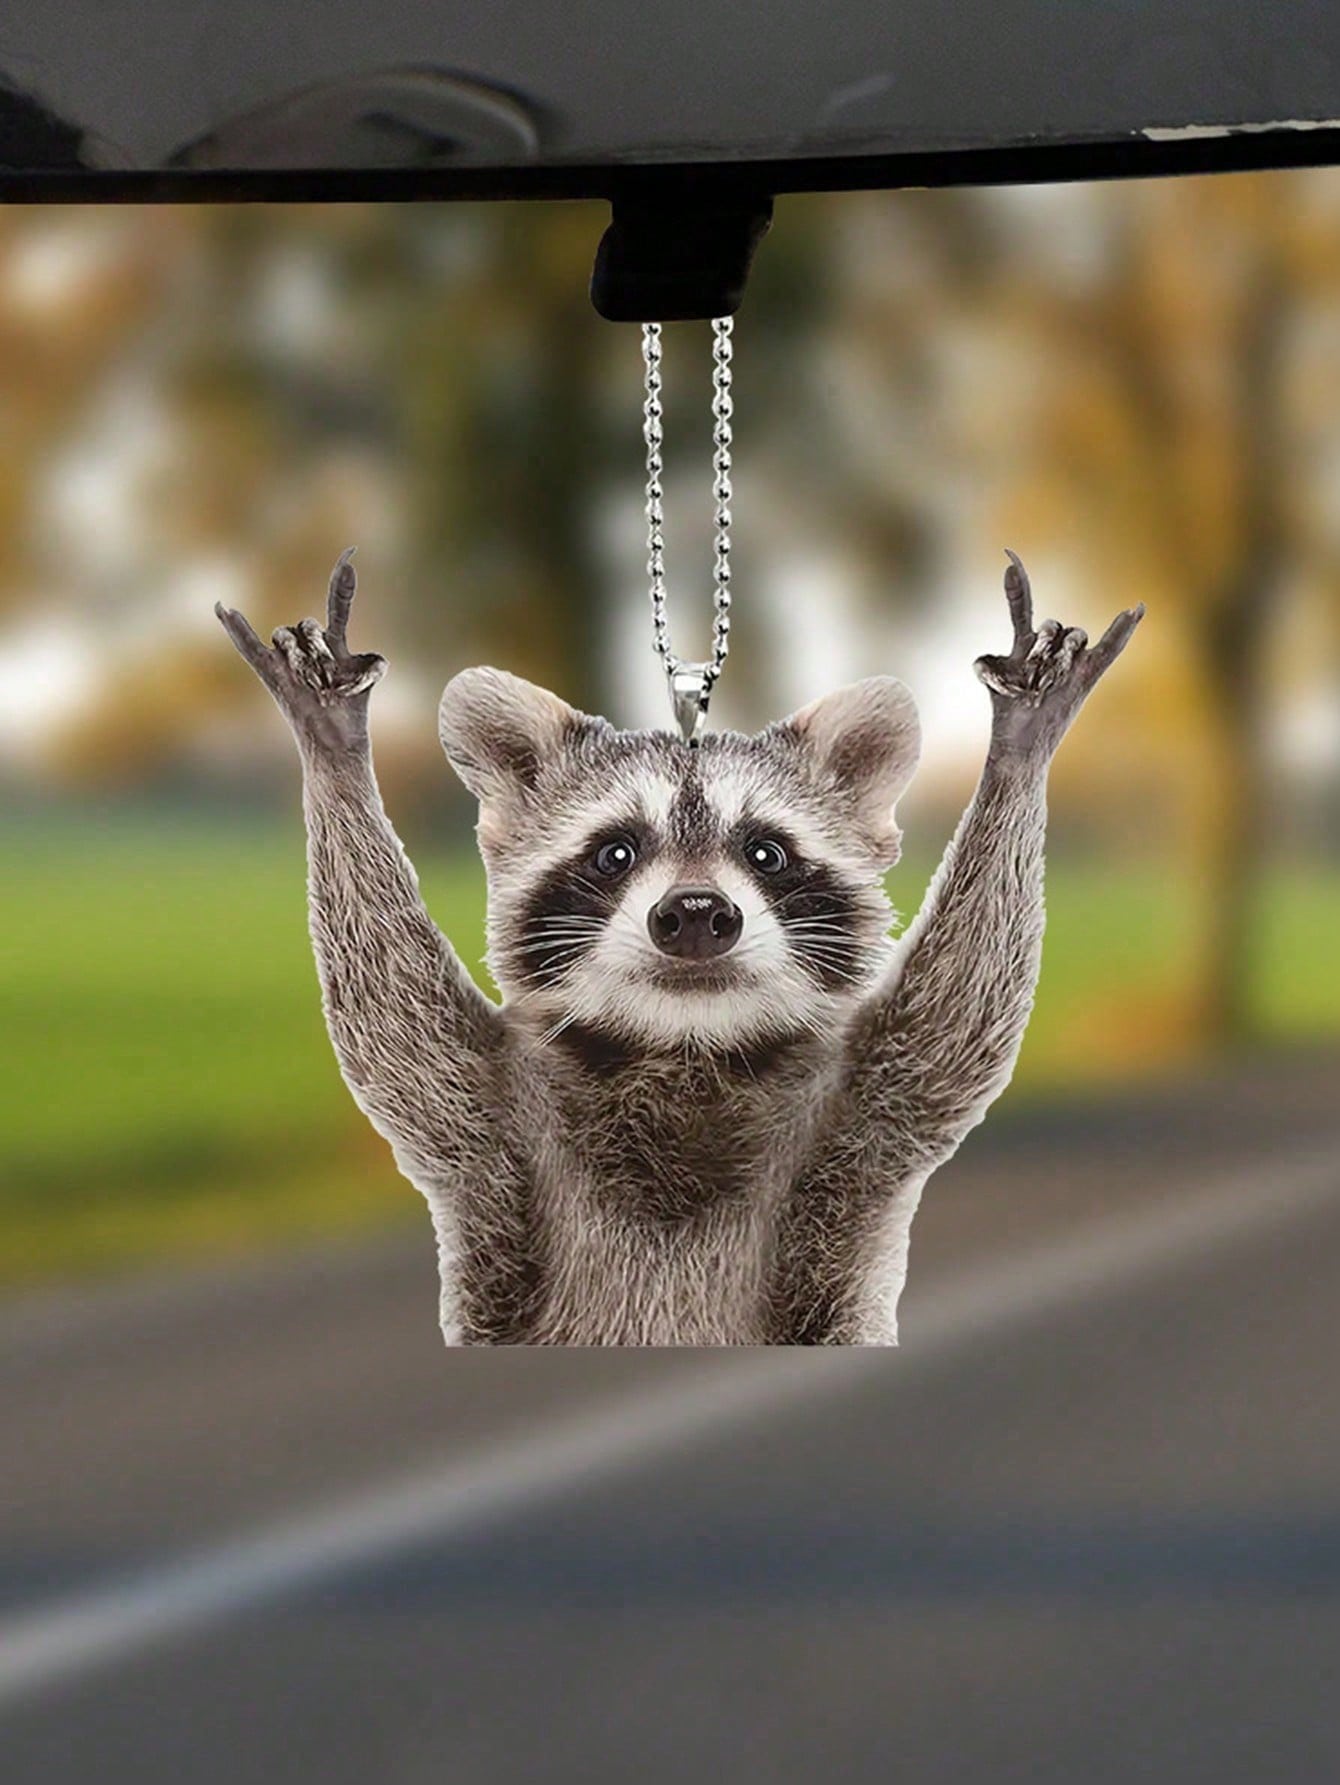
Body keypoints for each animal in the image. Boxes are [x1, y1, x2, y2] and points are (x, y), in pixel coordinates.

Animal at [217, 550, 1143, 1345]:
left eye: (765, 852)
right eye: (615, 852)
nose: (696, 913)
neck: (684, 1044)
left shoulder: (862, 1114)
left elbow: (958, 1017)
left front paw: (1019, 749)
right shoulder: (491, 1113)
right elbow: (392, 1020)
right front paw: (334, 750)